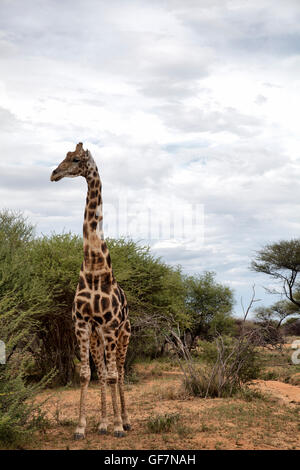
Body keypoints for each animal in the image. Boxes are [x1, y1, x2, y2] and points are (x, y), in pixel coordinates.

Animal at [50, 141, 131, 438]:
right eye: (64, 157)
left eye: (75, 159)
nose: (54, 174)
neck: (95, 268)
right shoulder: (82, 324)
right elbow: (86, 374)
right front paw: (81, 427)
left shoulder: (110, 326)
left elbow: (114, 375)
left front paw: (119, 426)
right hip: (99, 339)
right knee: (104, 371)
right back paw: (103, 423)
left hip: (123, 336)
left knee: (120, 372)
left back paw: (124, 421)